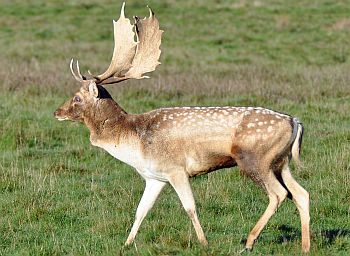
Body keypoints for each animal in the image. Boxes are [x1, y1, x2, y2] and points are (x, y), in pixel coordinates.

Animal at [53, 3, 310, 253]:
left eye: (77, 98)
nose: (57, 112)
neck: (134, 141)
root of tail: (295, 121)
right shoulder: (155, 177)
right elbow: (141, 210)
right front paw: (126, 243)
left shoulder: (176, 169)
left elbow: (190, 207)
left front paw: (204, 243)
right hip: (281, 162)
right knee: (301, 193)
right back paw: (305, 246)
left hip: (255, 159)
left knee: (279, 194)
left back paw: (249, 241)